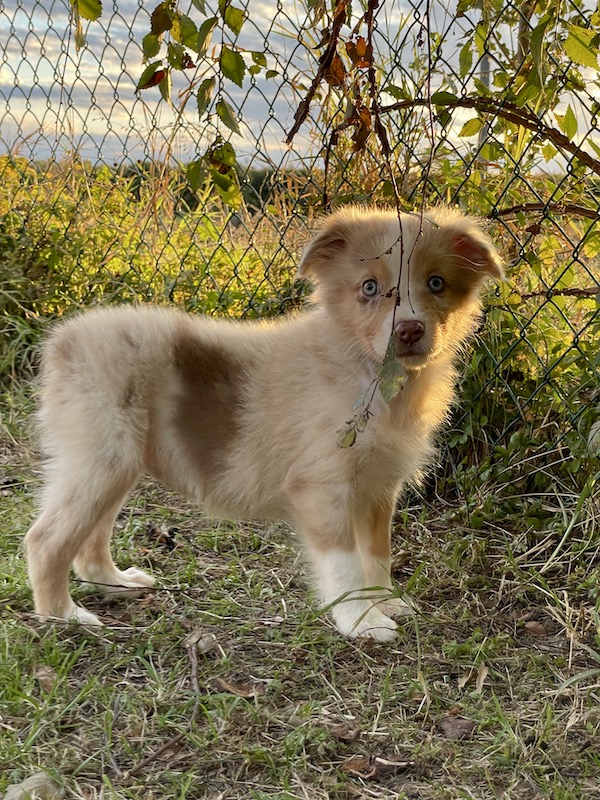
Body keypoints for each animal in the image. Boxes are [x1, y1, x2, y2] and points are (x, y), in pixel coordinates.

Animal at [24, 208, 502, 644]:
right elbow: (345, 561)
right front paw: (362, 620)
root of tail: (66, 340)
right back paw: (62, 617)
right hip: (100, 458)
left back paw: (113, 583)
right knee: (45, 538)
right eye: (369, 288)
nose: (409, 330)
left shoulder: (377, 488)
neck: (369, 374)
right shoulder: (323, 488)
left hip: (114, 465)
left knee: (90, 536)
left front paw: (384, 601)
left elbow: (377, 553)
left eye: (436, 283)